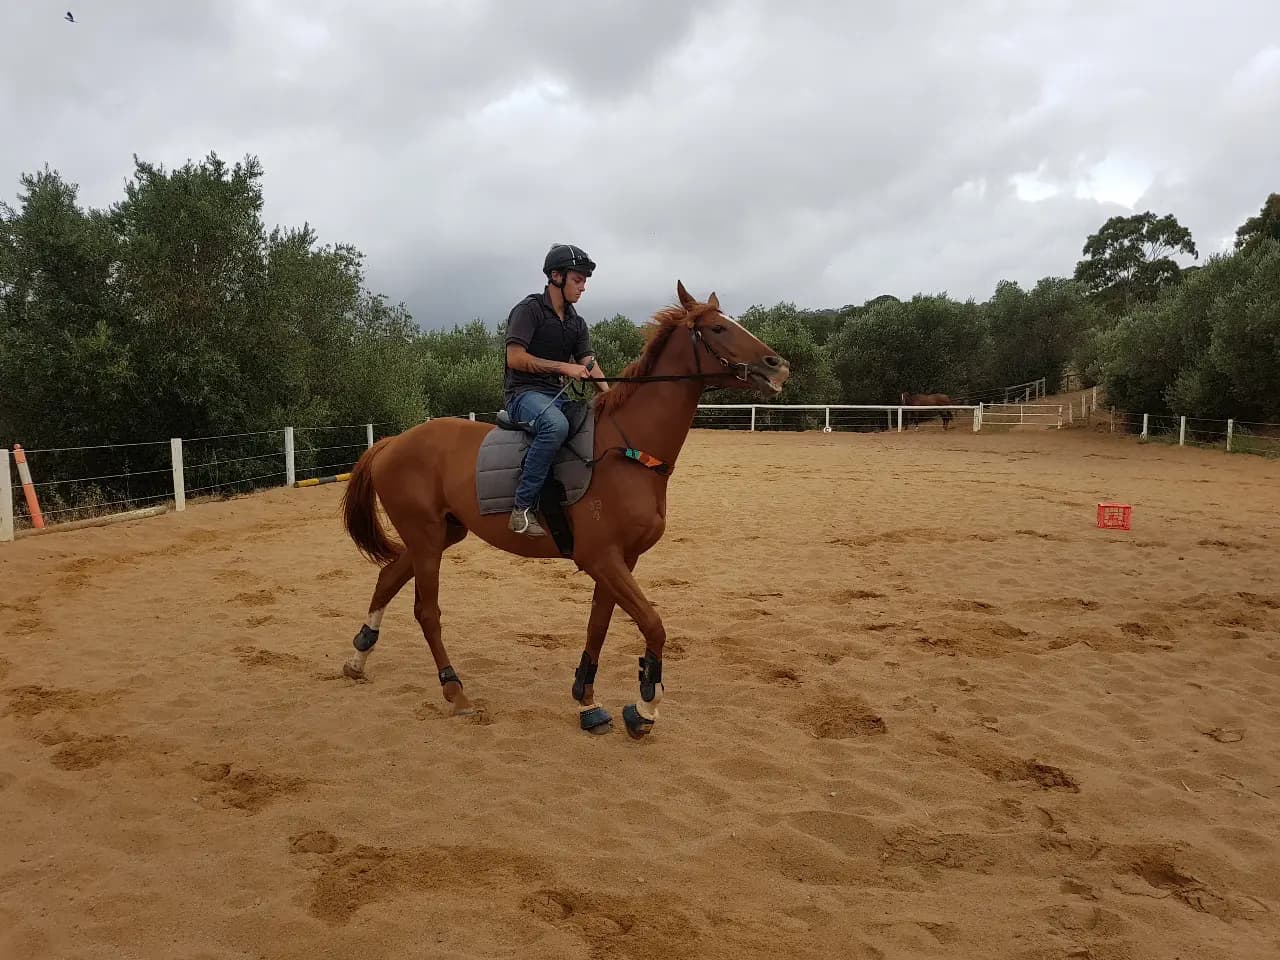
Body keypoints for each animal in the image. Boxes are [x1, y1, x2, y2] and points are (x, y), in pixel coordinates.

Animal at [338, 281, 790, 739]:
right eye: (717, 328)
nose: (778, 366)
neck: (626, 450)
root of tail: (392, 442)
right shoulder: (601, 558)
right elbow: (653, 624)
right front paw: (645, 707)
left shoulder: (621, 559)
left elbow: (599, 625)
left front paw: (587, 701)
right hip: (427, 538)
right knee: (426, 612)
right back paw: (456, 692)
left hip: (440, 534)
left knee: (388, 576)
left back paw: (358, 658)